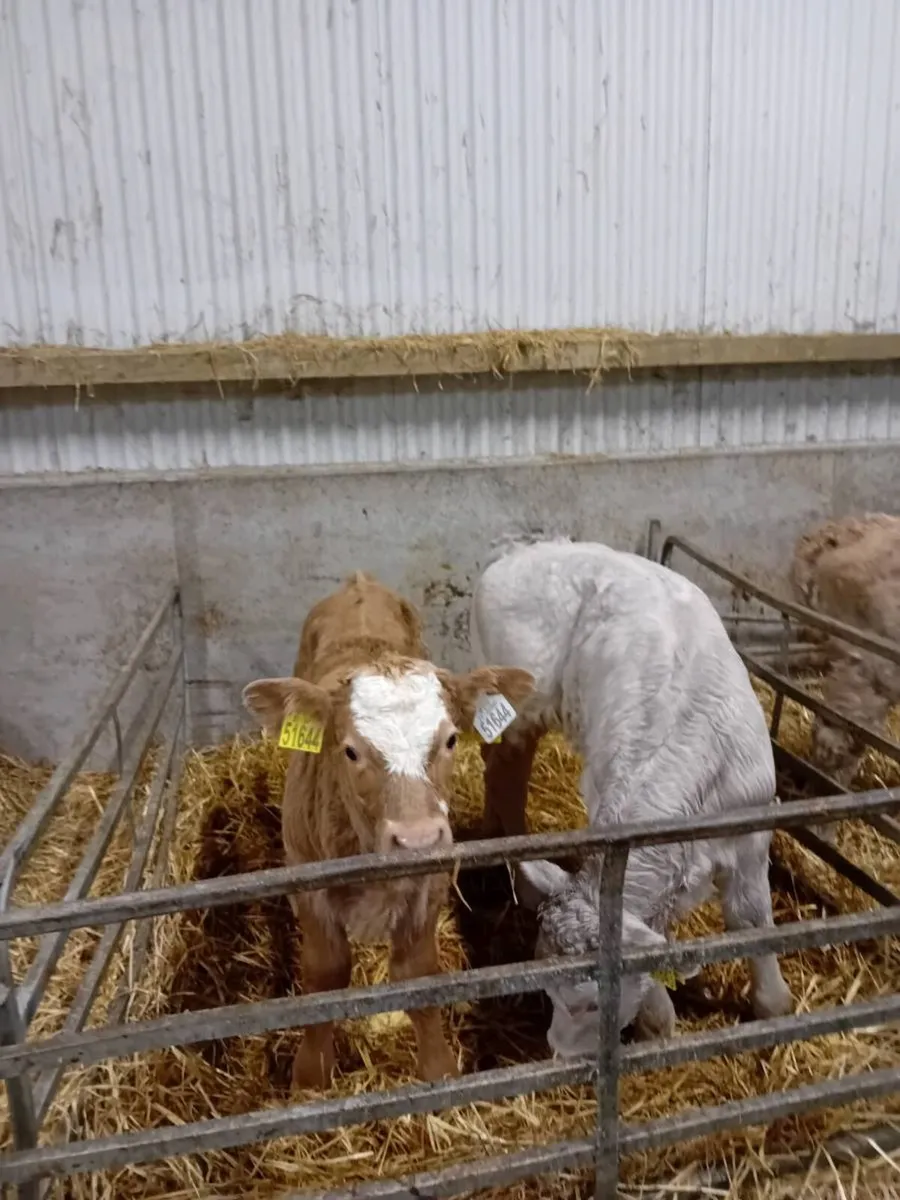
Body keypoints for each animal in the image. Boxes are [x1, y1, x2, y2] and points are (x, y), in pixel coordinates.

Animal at [242, 571, 534, 1089]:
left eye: (451, 739)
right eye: (350, 751)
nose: (416, 838)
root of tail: (359, 582)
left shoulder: (431, 881)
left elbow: (418, 973)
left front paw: (439, 1069)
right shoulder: (307, 878)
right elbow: (325, 972)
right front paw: (311, 1075)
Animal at [469, 538, 793, 1056]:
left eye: (591, 1006)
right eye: (549, 992)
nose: (558, 1054)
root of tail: (522, 550)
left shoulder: (751, 829)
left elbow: (750, 915)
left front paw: (772, 1005)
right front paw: (659, 1019)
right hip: (516, 705)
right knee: (505, 776)